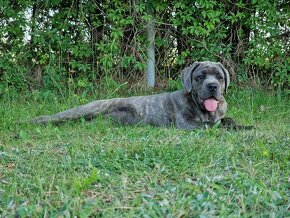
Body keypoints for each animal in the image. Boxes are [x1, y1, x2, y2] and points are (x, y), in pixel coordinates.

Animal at [31, 61, 246, 129]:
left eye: (219, 77)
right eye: (200, 77)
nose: (212, 86)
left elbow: (229, 121)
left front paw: (244, 126)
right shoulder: (187, 124)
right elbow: (212, 126)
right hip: (83, 110)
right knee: (55, 117)